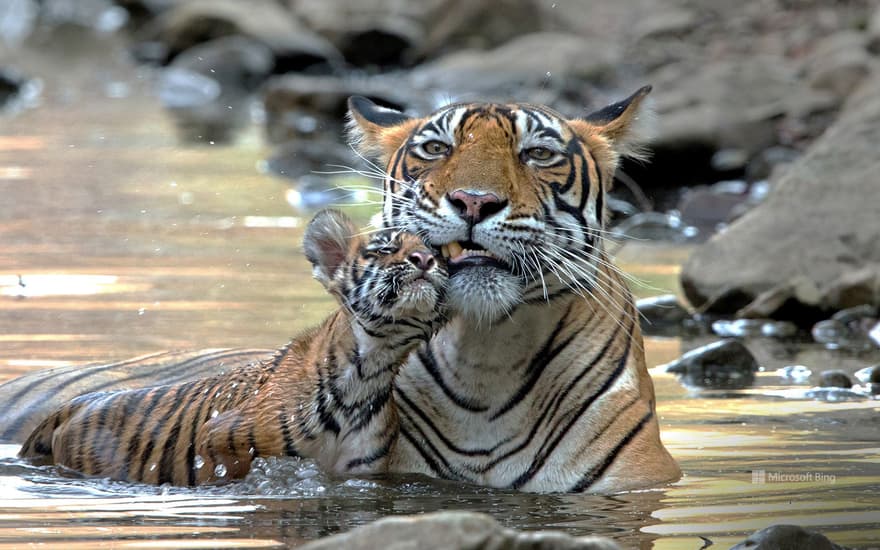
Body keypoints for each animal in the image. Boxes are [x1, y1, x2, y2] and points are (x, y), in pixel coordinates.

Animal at [18, 211, 446, 488]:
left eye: (437, 255)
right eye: (385, 249)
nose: (424, 259)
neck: (372, 368)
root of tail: (67, 407)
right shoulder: (222, 438)